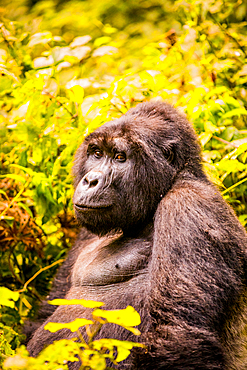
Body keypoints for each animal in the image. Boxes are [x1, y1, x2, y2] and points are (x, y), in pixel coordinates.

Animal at [26, 99, 247, 368]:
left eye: (120, 157)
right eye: (96, 154)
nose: (90, 180)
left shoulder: (188, 205)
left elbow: (178, 333)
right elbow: (49, 309)